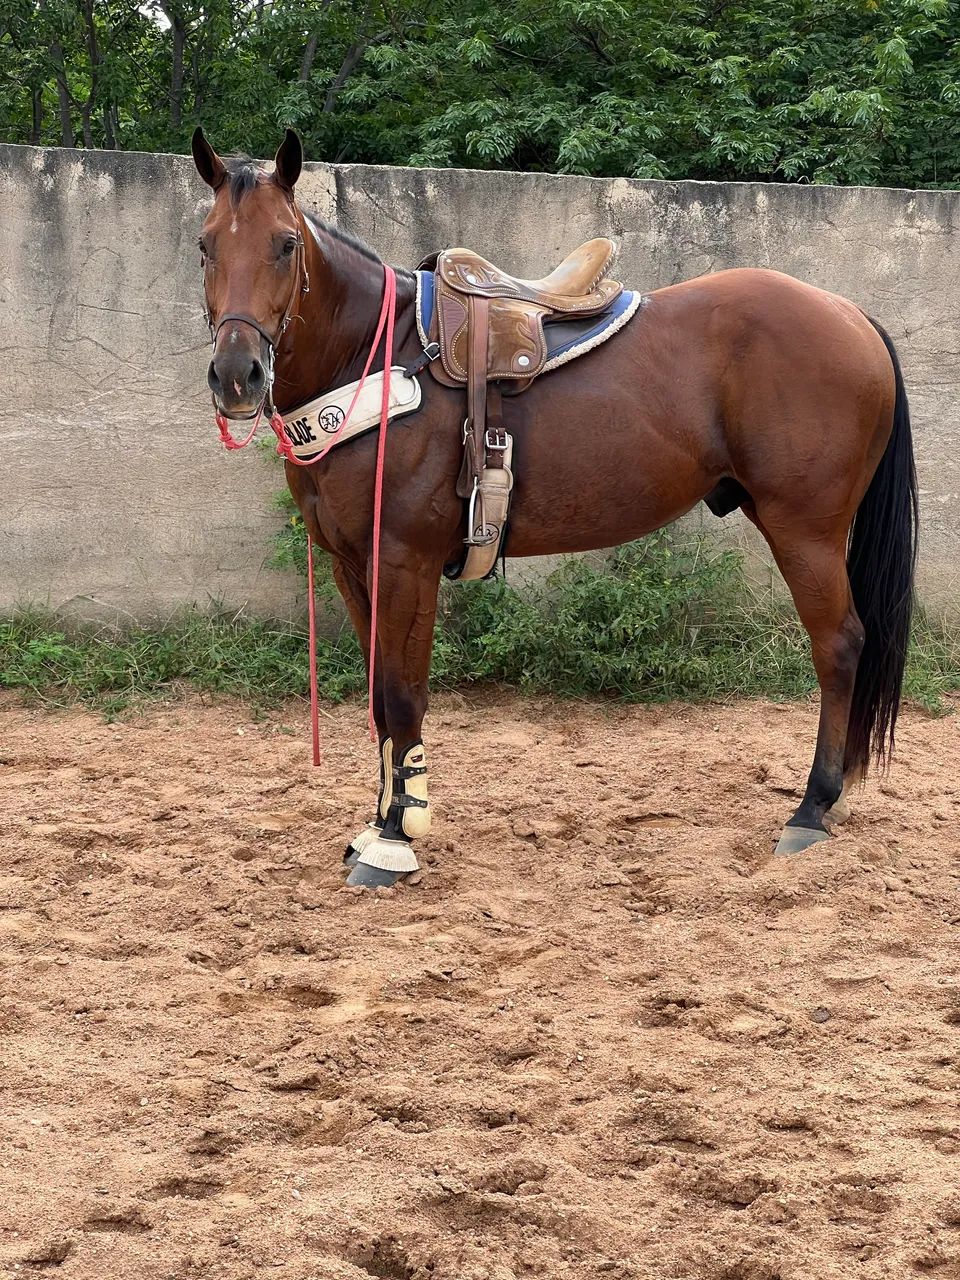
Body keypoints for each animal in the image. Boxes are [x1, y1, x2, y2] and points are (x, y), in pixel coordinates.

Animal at [191, 128, 918, 889]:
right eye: (205, 245)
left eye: (284, 245)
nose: (236, 376)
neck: (374, 353)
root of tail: (850, 315)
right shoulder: (352, 567)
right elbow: (379, 700)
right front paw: (377, 825)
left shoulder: (404, 561)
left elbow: (401, 693)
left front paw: (396, 839)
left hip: (805, 530)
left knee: (840, 645)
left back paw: (812, 807)